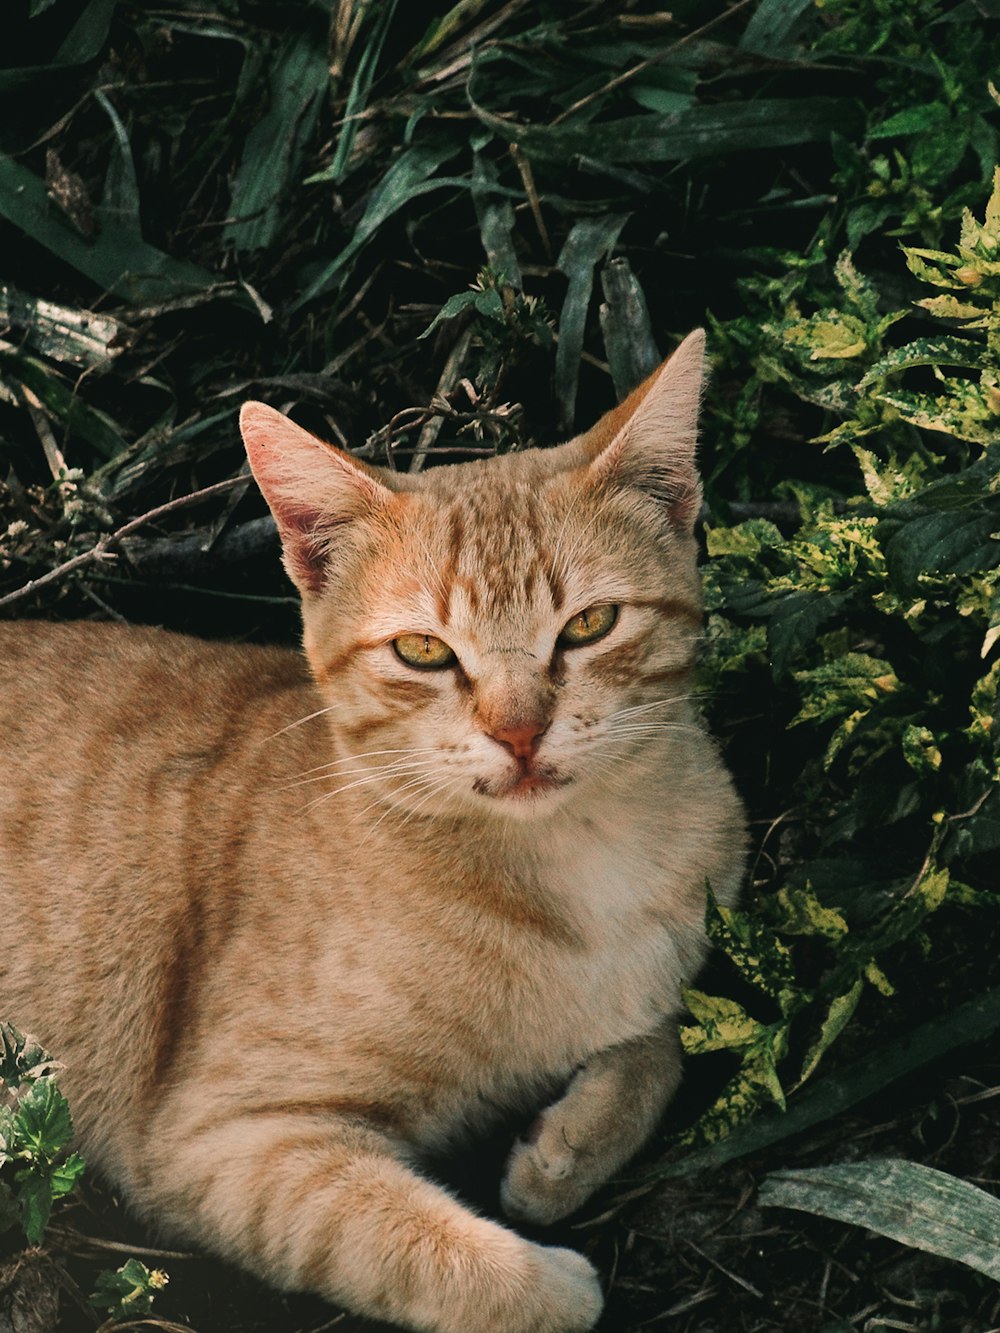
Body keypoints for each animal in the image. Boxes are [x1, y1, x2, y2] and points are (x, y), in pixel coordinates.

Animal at [0, 327, 746, 1327]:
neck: (580, 872)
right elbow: (413, 1242)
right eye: (423, 650)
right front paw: (547, 1280)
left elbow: (663, 1040)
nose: (519, 731)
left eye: (589, 625)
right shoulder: (218, 1139)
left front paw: (561, 1152)